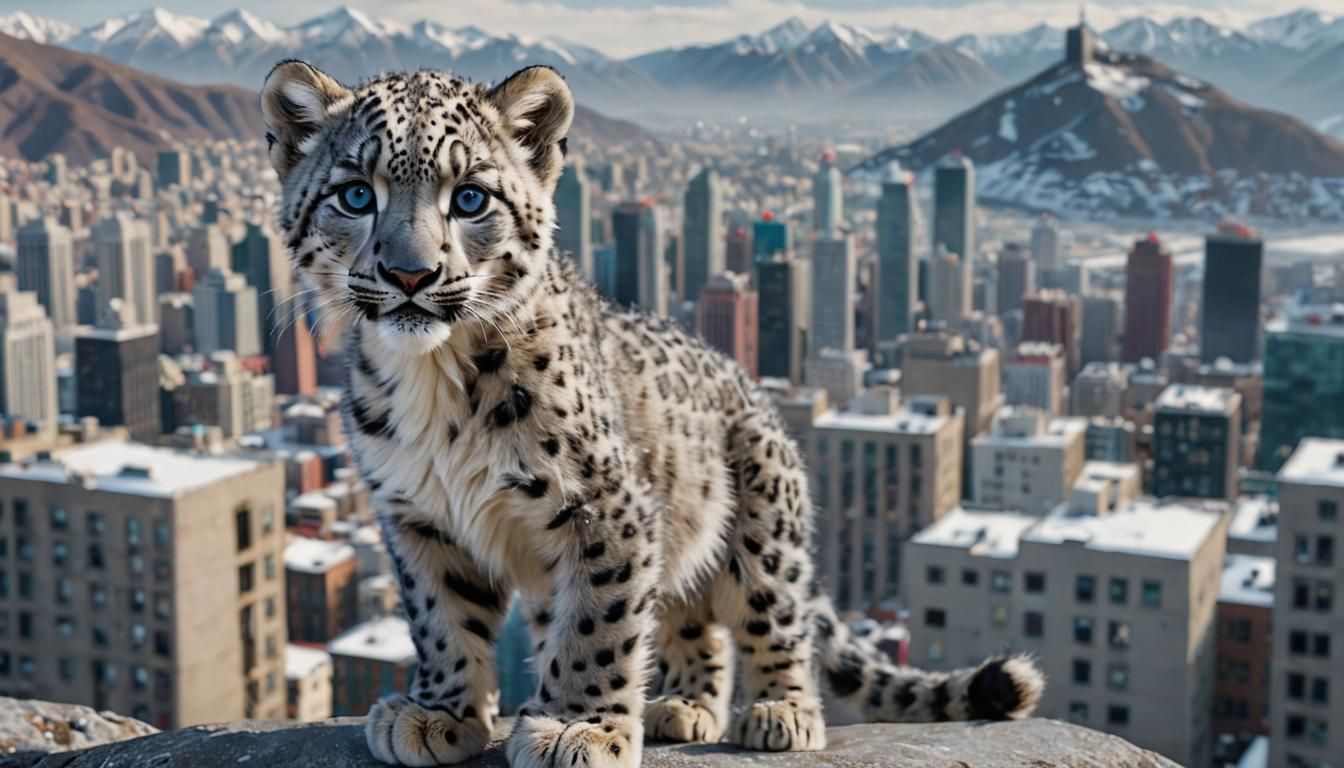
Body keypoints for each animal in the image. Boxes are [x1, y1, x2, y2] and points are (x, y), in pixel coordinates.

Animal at [260, 60, 1044, 768]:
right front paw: (438, 714)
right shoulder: (418, 516)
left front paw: (577, 727)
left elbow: (596, 624)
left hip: (763, 524)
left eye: (472, 197)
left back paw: (780, 711)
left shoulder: (605, 506)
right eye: (355, 195)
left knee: (771, 616)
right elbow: (441, 618)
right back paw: (684, 705)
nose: (410, 273)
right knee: (692, 624)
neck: (433, 378)